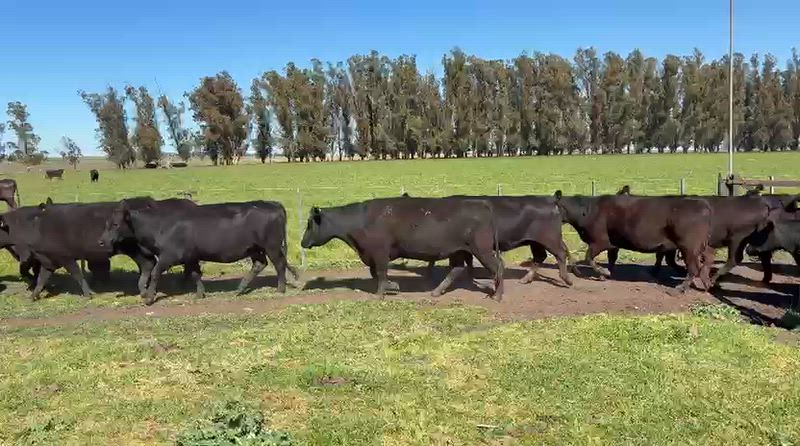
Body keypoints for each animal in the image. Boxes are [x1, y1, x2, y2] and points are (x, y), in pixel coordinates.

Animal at [0, 197, 197, 300]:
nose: (23, 256)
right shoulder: (48, 261)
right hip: (136, 251)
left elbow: (77, 275)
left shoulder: (66, 257)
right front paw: (34, 295)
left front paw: (88, 294)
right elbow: (41, 279)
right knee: (148, 265)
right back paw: (143, 289)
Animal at [99, 200, 299, 305]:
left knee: (279, 264)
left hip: (271, 246)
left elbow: (155, 273)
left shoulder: (168, 256)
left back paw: (280, 289)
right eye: (106, 224)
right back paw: (239, 289)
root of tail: (272, 203)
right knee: (260, 264)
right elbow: (195, 274)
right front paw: (200, 293)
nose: (101, 241)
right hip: (255, 249)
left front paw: (149, 297)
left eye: (115, 224)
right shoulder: (191, 257)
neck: (160, 225)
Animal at [301, 197, 504, 299]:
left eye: (310, 224)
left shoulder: (380, 252)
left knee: (497, 267)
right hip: (458, 251)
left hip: (482, 249)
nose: (302, 243)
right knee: (456, 269)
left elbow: (380, 273)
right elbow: (375, 273)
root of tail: (481, 203)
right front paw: (394, 286)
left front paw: (381, 293)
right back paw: (436, 292)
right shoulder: (374, 255)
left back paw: (497, 296)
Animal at [555, 190, 714, 292]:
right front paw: (605, 274)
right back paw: (706, 283)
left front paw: (603, 272)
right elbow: (611, 259)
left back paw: (681, 287)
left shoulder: (599, 241)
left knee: (693, 267)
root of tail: (702, 203)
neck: (587, 210)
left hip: (689, 247)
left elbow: (589, 257)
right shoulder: (613, 244)